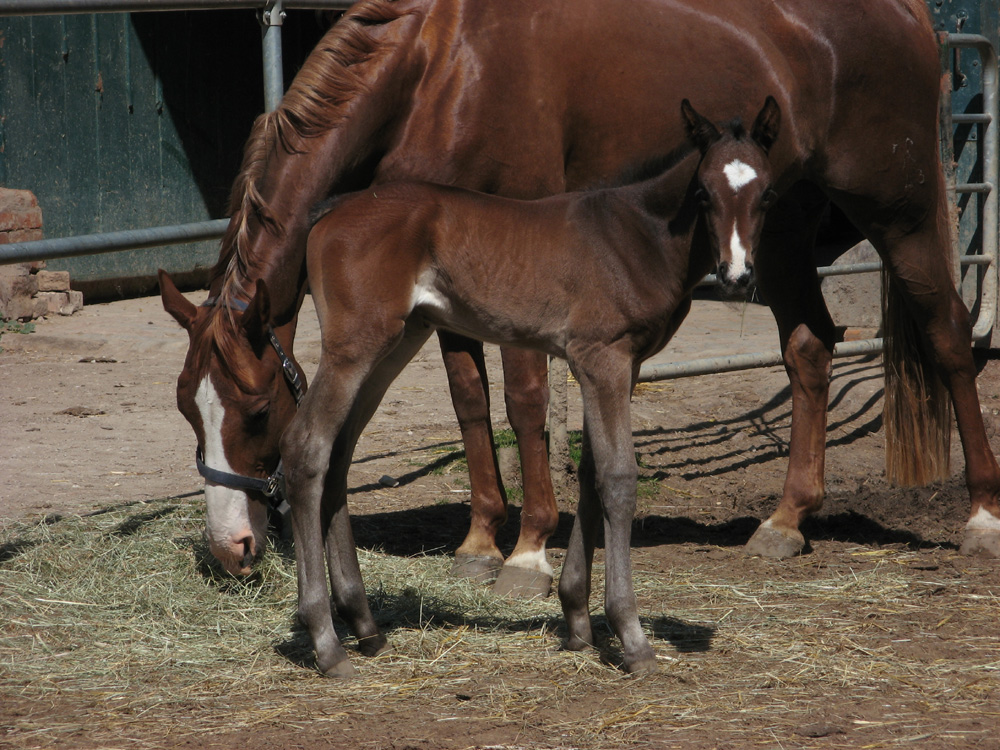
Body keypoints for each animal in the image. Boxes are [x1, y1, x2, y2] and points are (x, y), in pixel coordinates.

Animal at [160, 0, 996, 588]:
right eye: (188, 414)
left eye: (258, 411)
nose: (229, 549)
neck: (440, 64)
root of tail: (911, 15)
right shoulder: (441, 257)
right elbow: (469, 398)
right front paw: (480, 539)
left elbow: (525, 400)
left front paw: (529, 549)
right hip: (777, 231)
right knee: (810, 350)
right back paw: (786, 521)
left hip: (901, 208)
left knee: (950, 335)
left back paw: (981, 516)